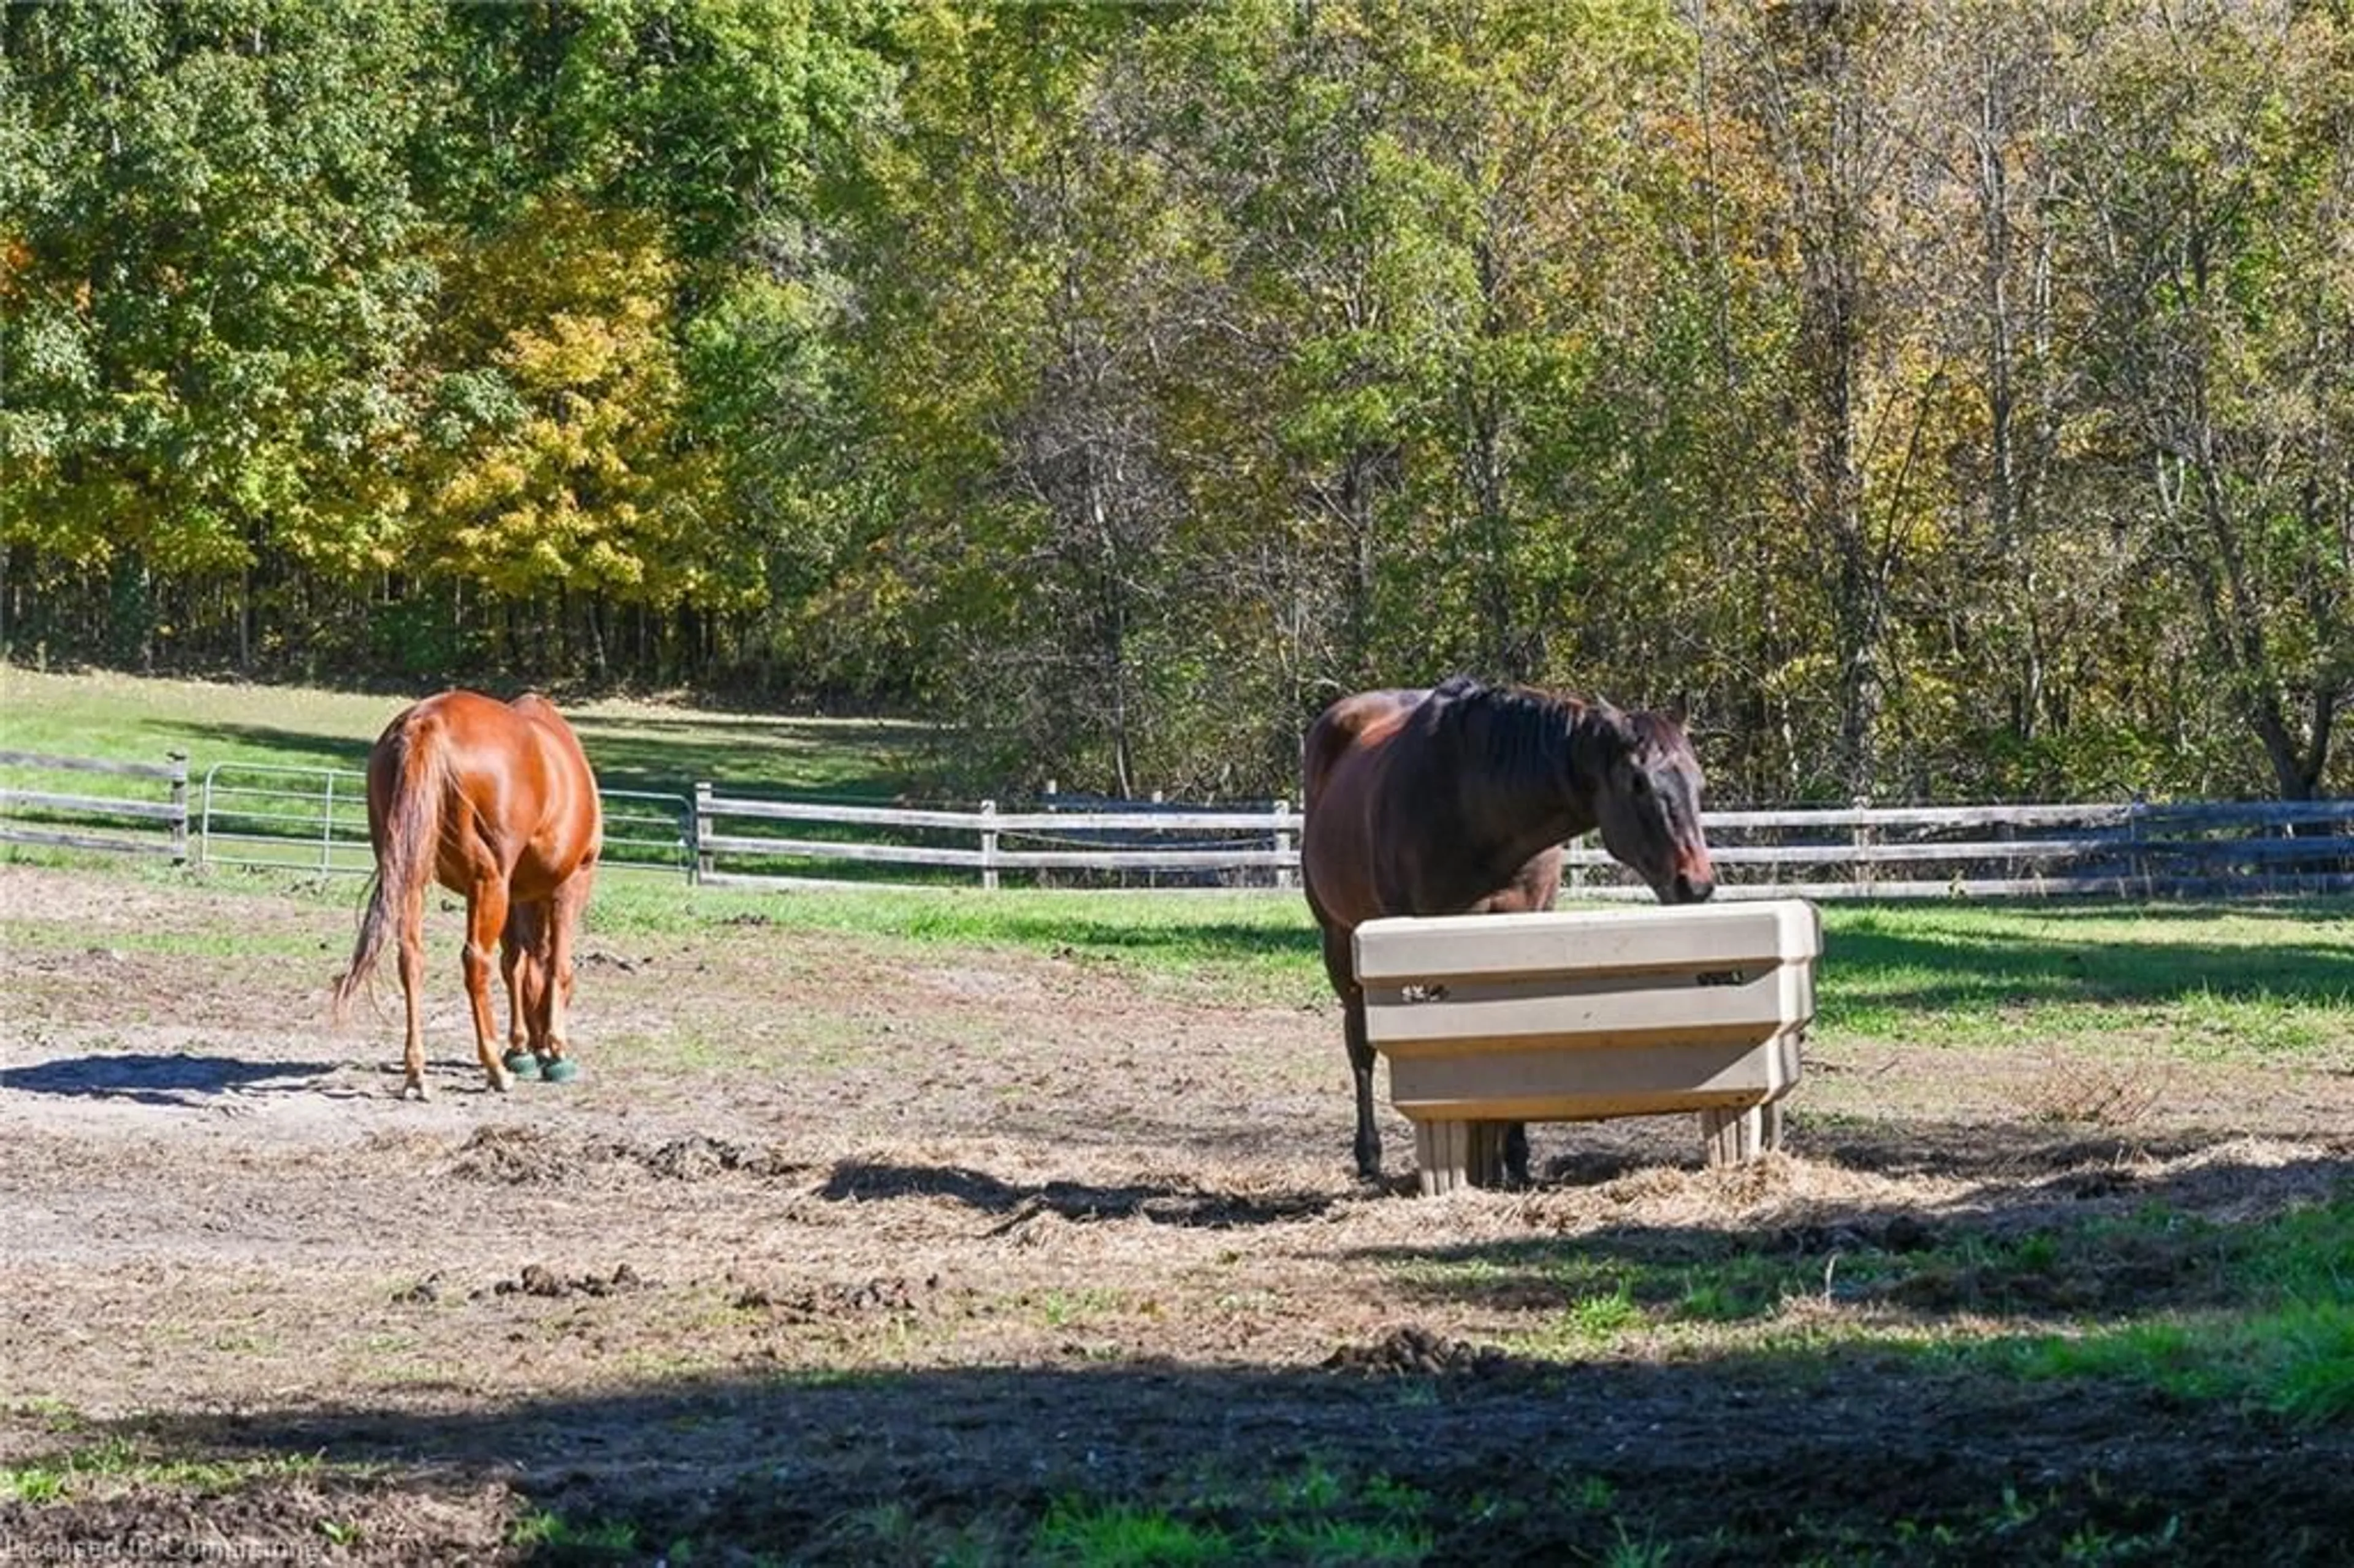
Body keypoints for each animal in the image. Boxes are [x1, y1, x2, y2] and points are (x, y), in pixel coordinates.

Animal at [337, 692, 603, 1092]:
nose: (539, 1046)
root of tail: (427, 721)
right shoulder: (570, 884)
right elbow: (557, 967)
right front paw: (556, 1053)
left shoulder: (516, 894)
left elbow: (516, 967)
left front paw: (521, 1048)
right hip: (487, 881)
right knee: (476, 961)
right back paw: (495, 1068)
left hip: (411, 874)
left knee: (411, 957)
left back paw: (416, 1071)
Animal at [1299, 668, 1723, 1172]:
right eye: (1637, 781)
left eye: (1699, 782)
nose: (1695, 883)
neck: (1479, 809)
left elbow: (1514, 1036)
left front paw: (1515, 1154)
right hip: (1340, 938)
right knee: (1360, 1044)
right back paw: (1369, 1155)